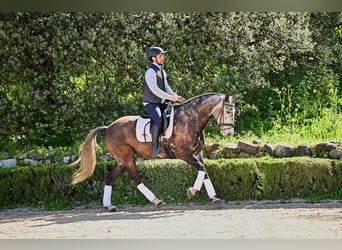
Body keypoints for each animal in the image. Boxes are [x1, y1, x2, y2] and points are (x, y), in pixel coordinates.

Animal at [71, 92, 238, 211]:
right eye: (228, 111)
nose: (229, 133)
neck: (191, 118)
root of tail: (108, 127)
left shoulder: (198, 154)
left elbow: (204, 172)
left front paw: (214, 197)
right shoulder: (183, 154)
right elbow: (202, 169)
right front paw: (192, 191)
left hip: (121, 161)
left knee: (110, 178)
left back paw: (109, 206)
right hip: (127, 158)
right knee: (135, 179)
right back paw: (156, 201)